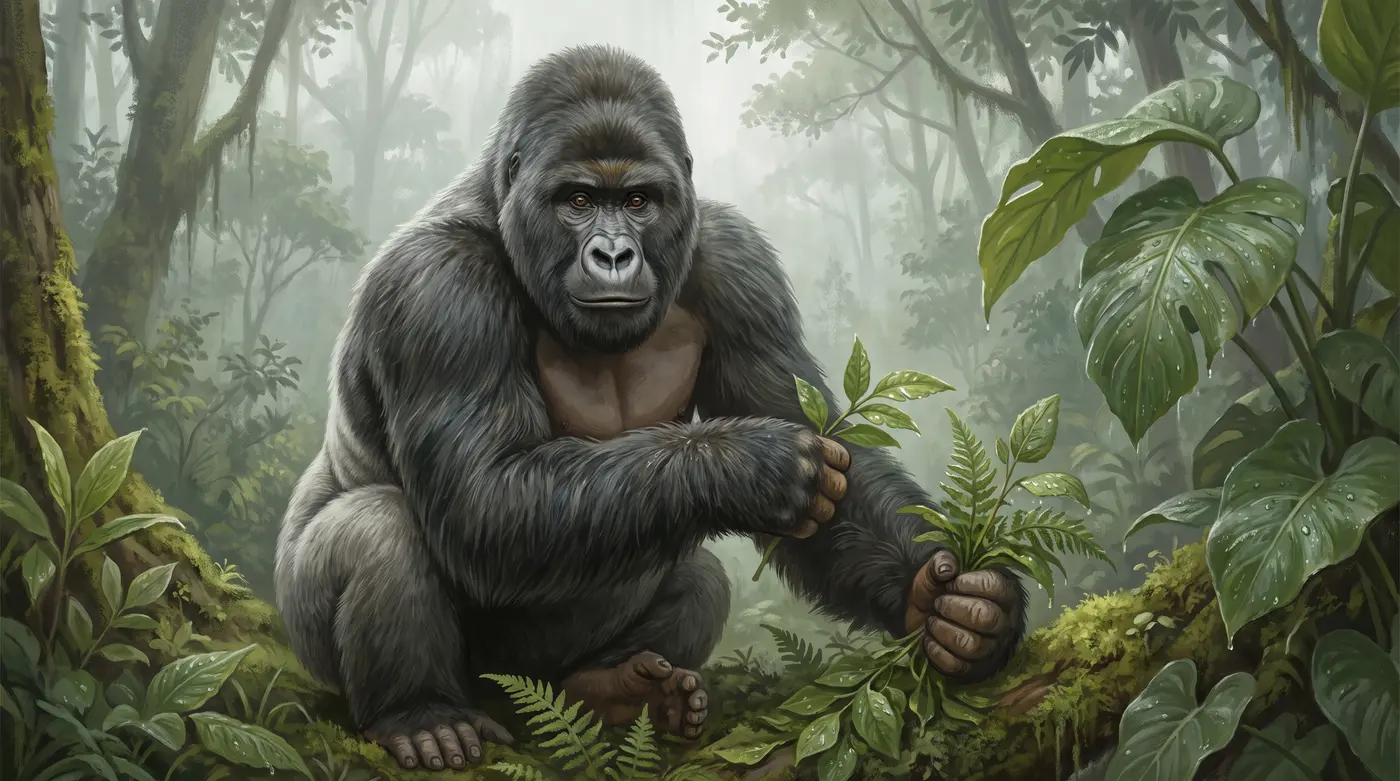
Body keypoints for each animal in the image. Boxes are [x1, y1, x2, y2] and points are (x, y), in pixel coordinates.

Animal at [274, 45, 1027, 772]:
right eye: (577, 200)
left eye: (639, 200)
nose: (613, 253)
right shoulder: (437, 285)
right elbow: (480, 499)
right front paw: (749, 467)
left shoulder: (735, 260)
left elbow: (828, 456)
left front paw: (953, 606)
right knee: (378, 526)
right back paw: (422, 713)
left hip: (538, 675)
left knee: (696, 578)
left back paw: (612, 691)